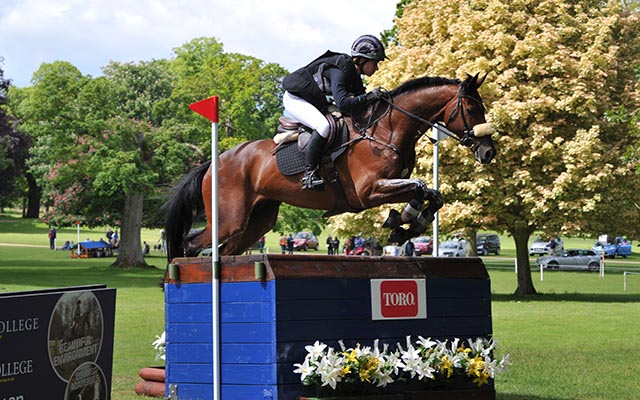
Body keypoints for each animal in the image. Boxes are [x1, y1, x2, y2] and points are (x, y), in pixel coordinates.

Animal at [165, 73, 497, 260]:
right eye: (471, 109)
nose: (488, 151)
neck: (385, 131)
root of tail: (214, 163)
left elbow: (432, 194)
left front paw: (405, 226)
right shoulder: (369, 192)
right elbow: (419, 187)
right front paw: (401, 222)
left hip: (257, 221)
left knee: (225, 251)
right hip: (229, 219)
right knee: (192, 244)